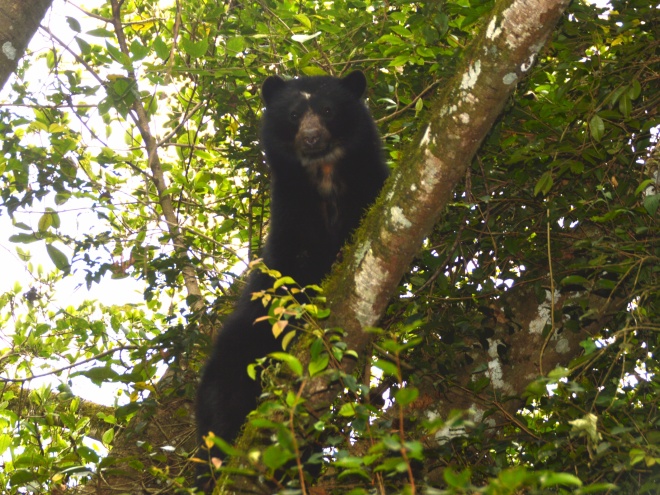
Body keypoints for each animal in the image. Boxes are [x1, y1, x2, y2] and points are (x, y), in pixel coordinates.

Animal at [196, 71, 392, 490]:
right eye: (294, 114)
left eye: (329, 110)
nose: (312, 138)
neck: (324, 176)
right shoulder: (290, 214)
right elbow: (289, 274)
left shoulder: (370, 192)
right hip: (232, 367)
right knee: (224, 413)